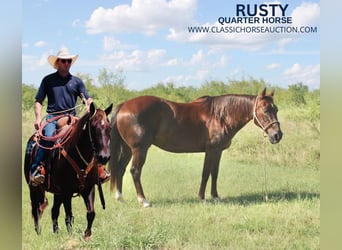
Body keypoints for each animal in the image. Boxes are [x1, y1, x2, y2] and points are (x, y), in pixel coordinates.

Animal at [23, 102, 113, 239]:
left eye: (109, 128)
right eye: (93, 127)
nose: (104, 157)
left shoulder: (89, 188)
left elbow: (91, 213)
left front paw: (87, 235)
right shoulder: (67, 191)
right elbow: (69, 217)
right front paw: (71, 237)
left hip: (57, 192)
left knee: (54, 211)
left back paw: (56, 233)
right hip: (34, 188)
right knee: (36, 210)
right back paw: (38, 233)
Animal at [109, 88, 284, 207]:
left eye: (276, 109)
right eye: (265, 109)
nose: (277, 135)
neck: (220, 115)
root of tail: (124, 105)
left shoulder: (218, 152)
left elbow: (214, 173)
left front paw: (215, 196)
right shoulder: (212, 150)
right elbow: (206, 173)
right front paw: (202, 197)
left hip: (127, 149)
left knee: (120, 168)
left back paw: (120, 198)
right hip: (139, 149)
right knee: (135, 171)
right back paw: (144, 201)